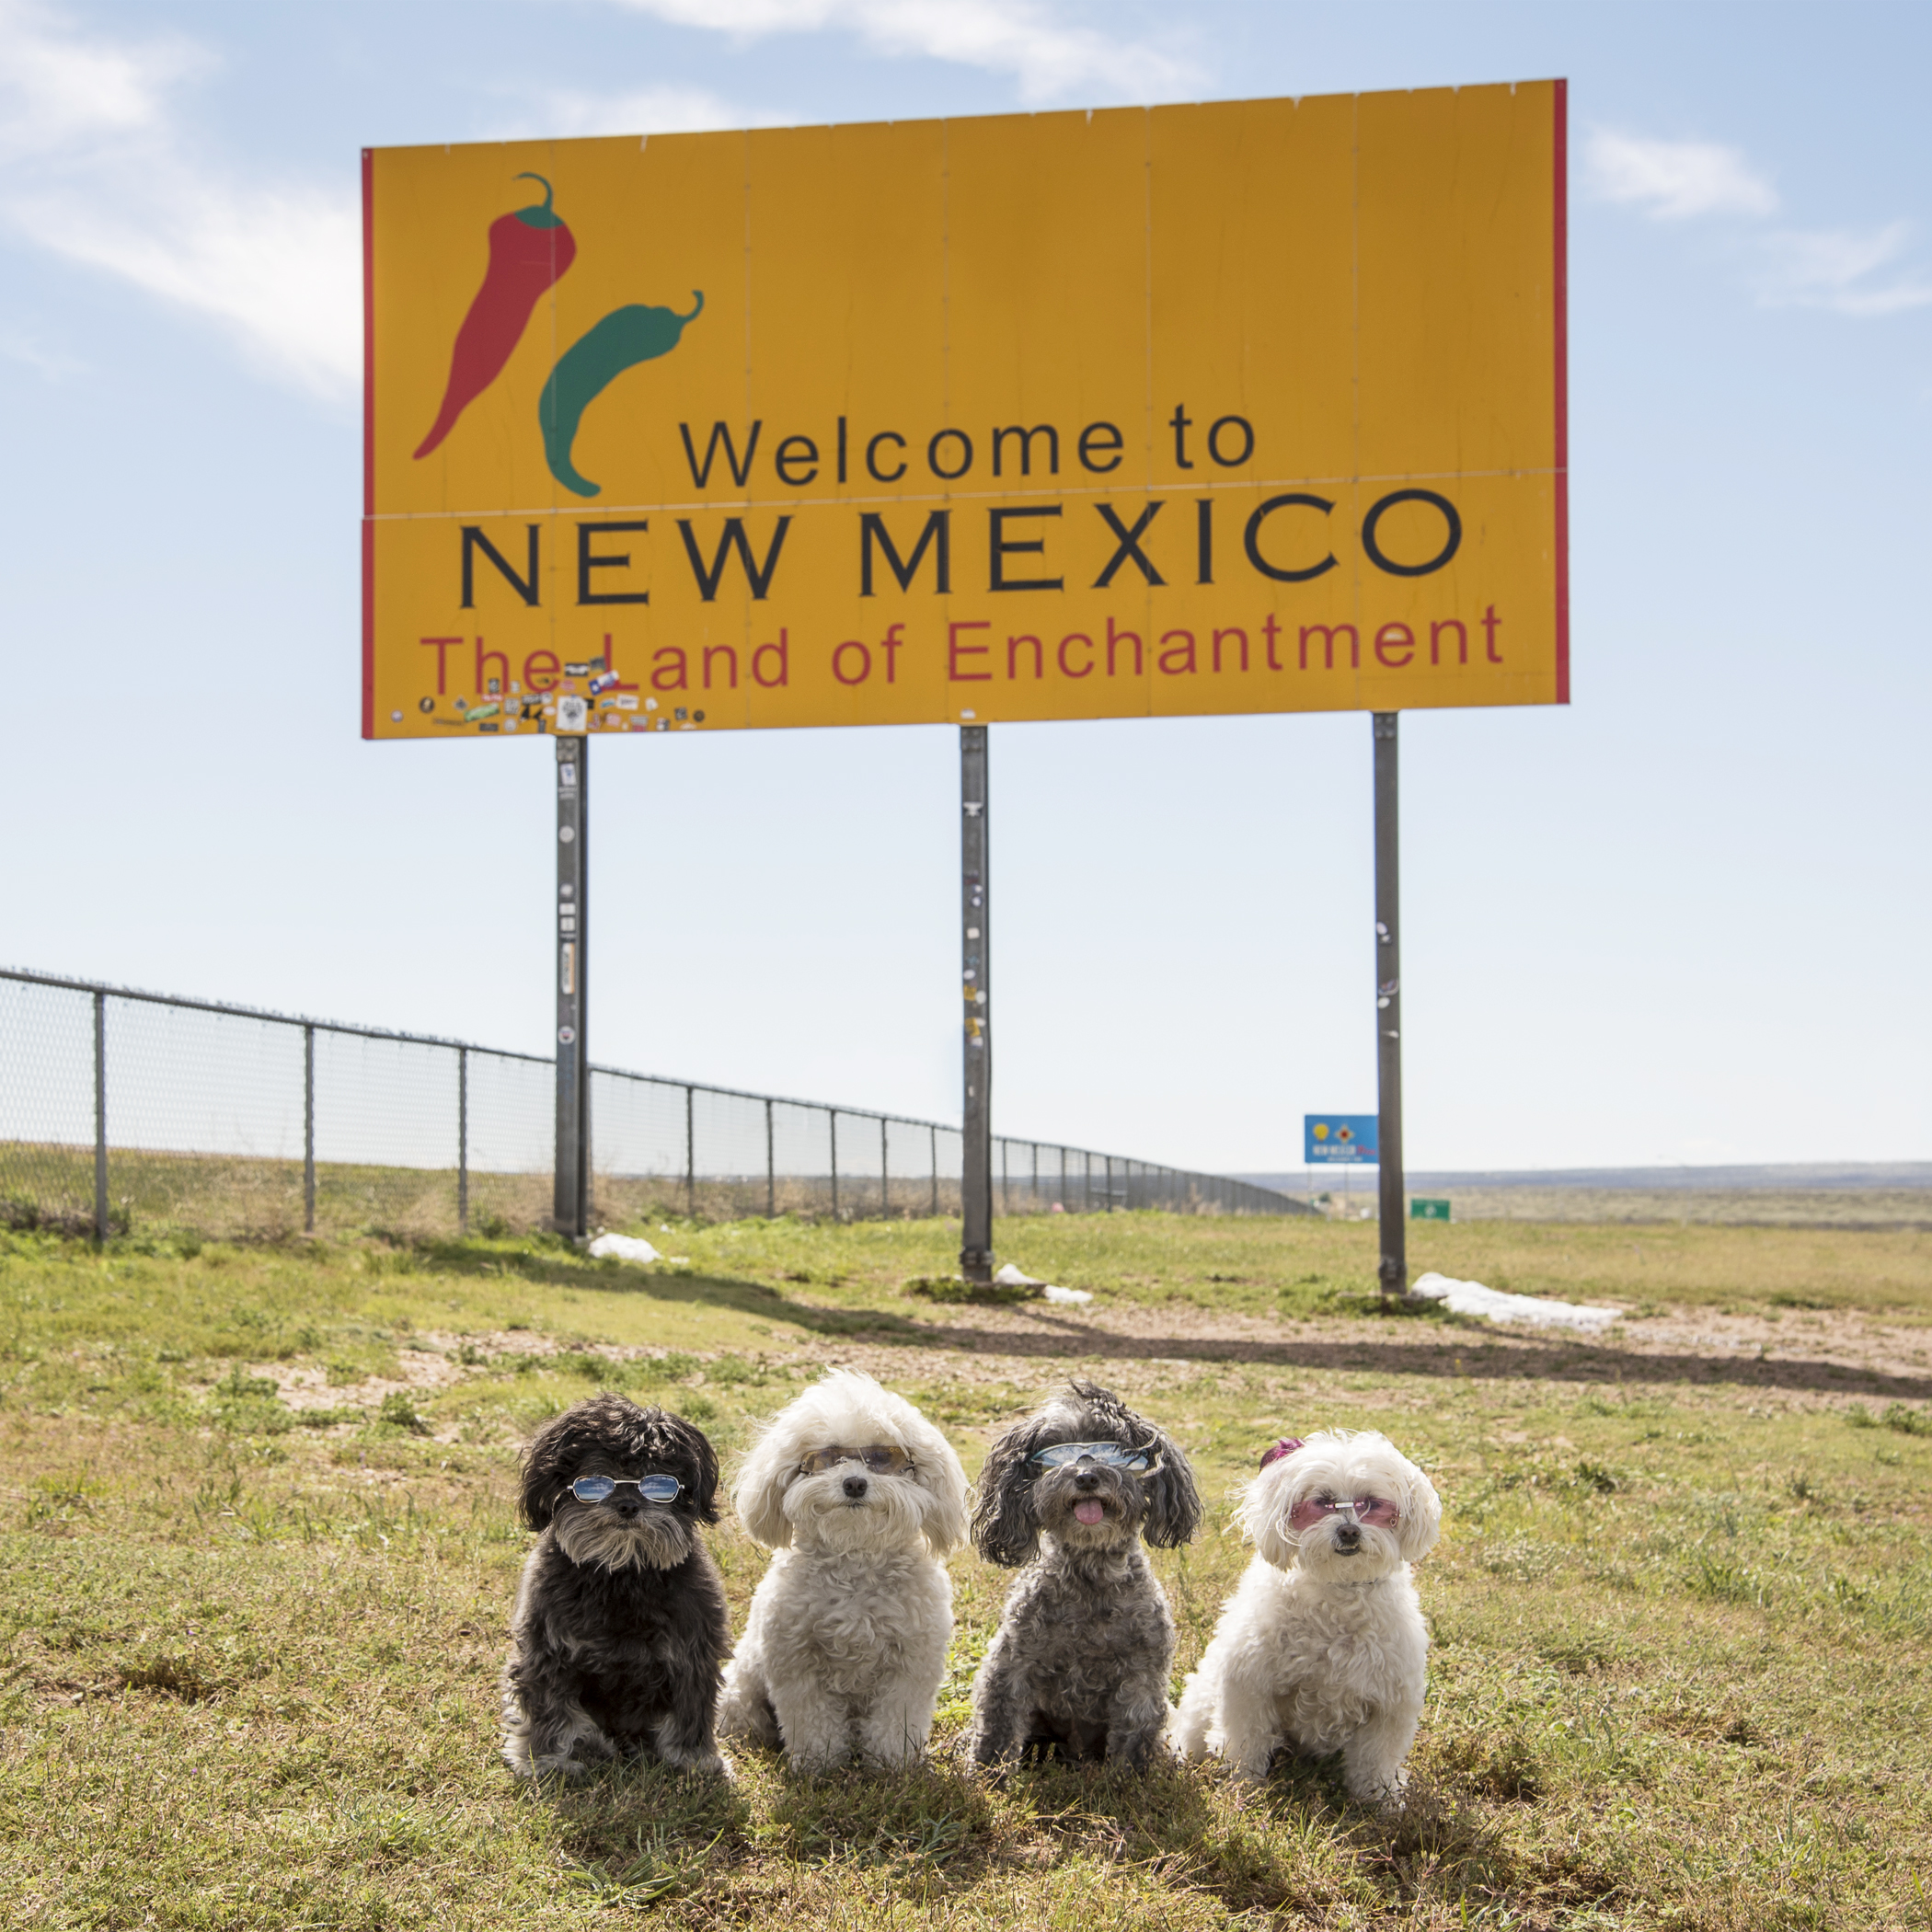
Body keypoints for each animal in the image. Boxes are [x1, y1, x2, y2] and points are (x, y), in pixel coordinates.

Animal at [498, 1390, 730, 1777]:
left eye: (658, 1480)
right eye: (597, 1479)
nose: (628, 1505)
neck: (622, 1573)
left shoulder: (693, 1654)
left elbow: (690, 1709)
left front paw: (693, 1758)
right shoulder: (546, 1651)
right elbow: (551, 1708)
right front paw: (547, 1758)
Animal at [719, 1375, 973, 1769]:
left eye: (883, 1458)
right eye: (826, 1458)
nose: (854, 1483)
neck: (855, 1561)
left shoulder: (911, 1665)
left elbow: (895, 1721)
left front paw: (892, 1765)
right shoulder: (796, 1663)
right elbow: (812, 1720)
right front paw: (817, 1764)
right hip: (741, 1690)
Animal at [961, 1383, 1190, 1769]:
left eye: (1111, 1450)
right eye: (1057, 1451)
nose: (1086, 1477)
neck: (1089, 1579)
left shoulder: (1142, 1674)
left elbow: (1134, 1731)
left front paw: (1129, 1776)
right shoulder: (1011, 1663)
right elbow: (998, 1724)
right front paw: (988, 1772)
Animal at [1167, 1429, 1444, 1800]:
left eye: (1371, 1504)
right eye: (1322, 1503)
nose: (1349, 1531)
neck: (1338, 1591)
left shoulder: (1390, 1703)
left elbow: (1376, 1759)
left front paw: (1380, 1799)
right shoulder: (1249, 1685)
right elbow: (1247, 1743)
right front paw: (1244, 1788)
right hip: (1201, 1702)